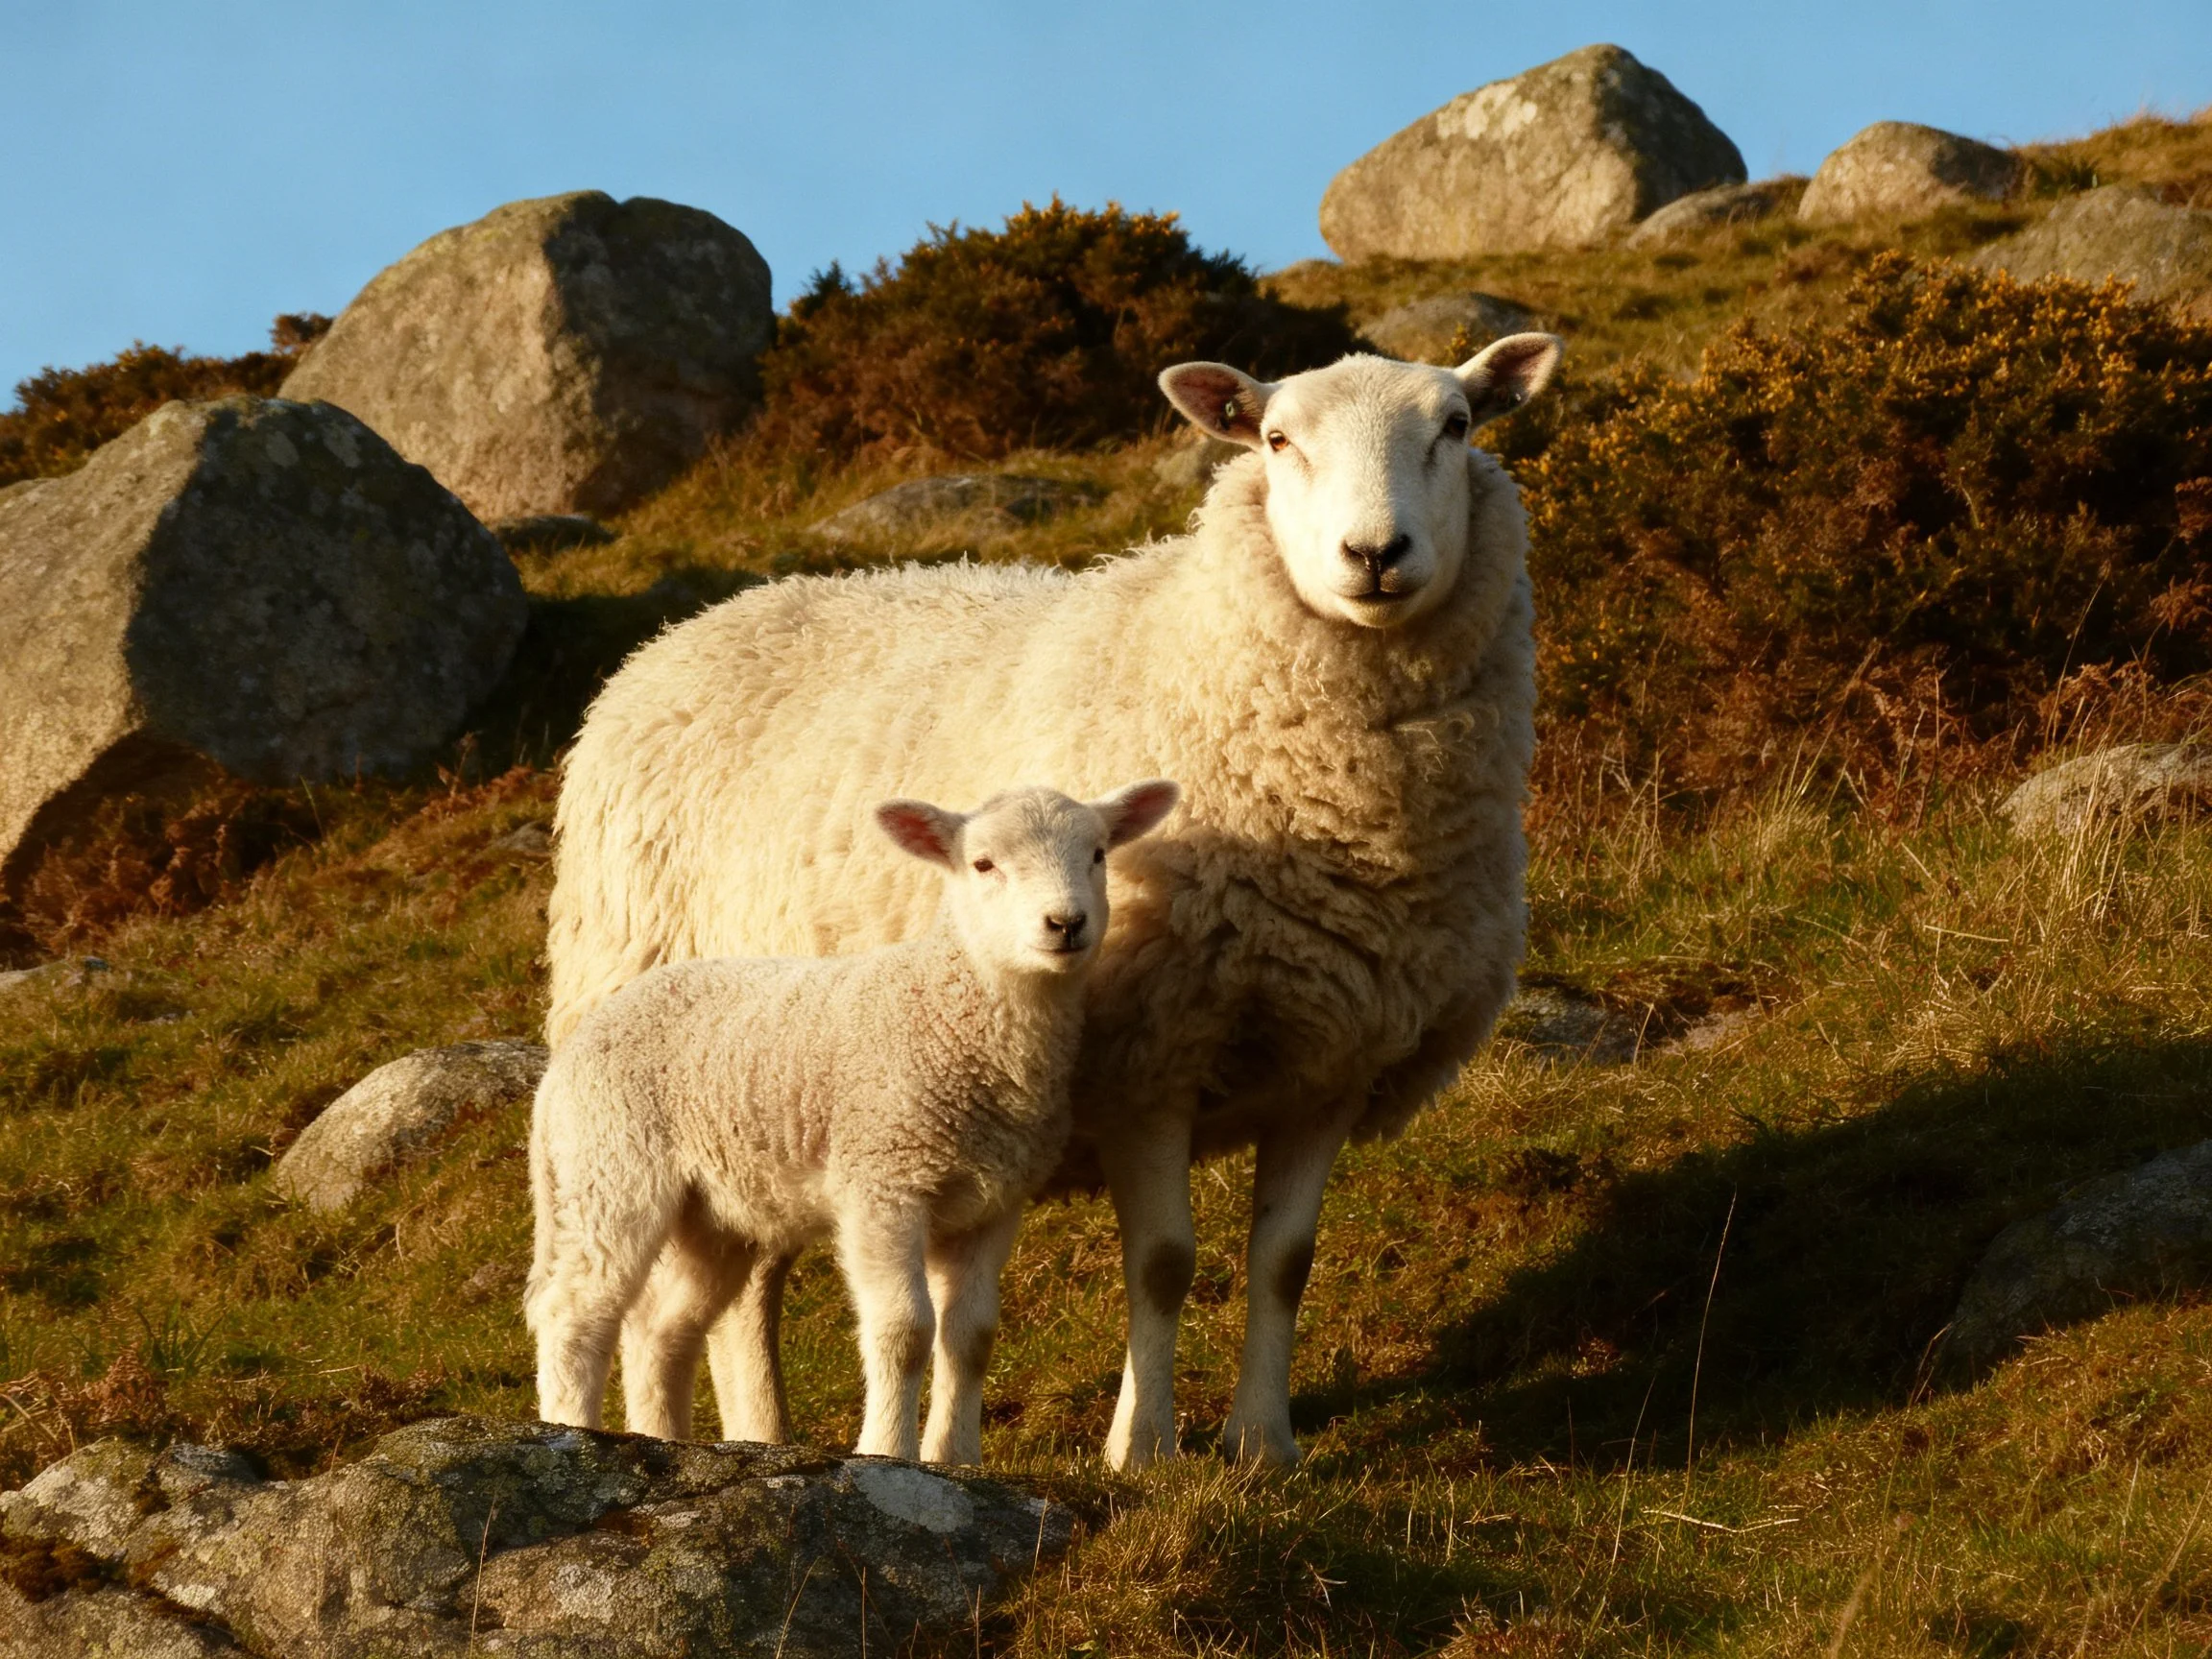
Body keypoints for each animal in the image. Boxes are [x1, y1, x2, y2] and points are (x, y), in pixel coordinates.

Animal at [528, 779, 1181, 1463]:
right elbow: (904, 1331)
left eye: (1099, 854)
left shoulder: (993, 1201)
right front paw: (888, 1449)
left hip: (713, 1215)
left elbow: (971, 1336)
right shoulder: (882, 1183)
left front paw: (957, 1459)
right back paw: (571, 1432)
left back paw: (661, 1442)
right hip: (610, 1166)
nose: (1066, 923)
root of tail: (565, 1061)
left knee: (661, 1328)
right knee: (575, 1313)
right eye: (983, 864)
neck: (957, 1012)